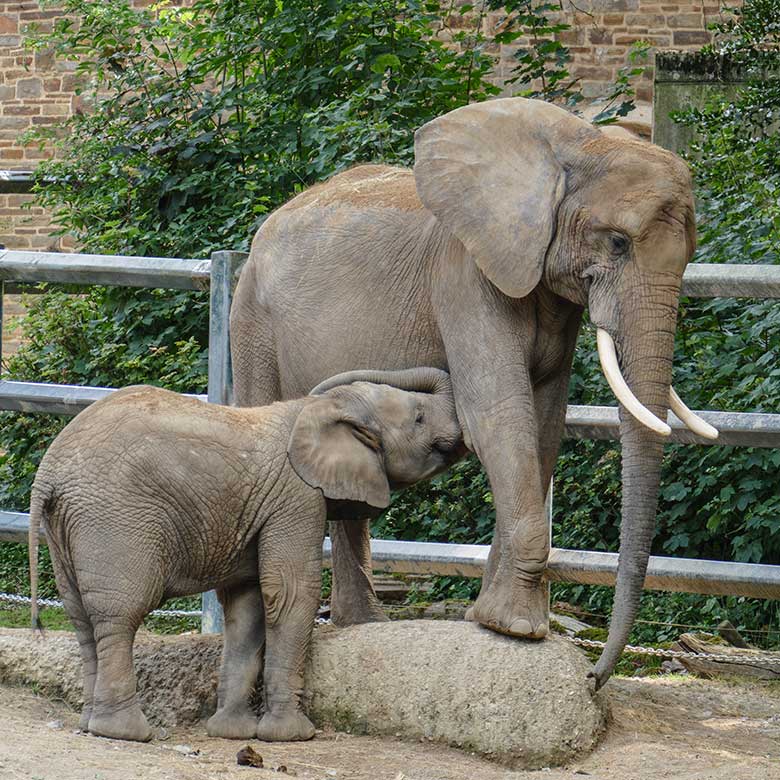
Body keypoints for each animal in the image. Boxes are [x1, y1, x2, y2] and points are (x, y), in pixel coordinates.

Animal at [29, 368, 464, 740]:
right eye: (419, 418)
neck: (316, 410)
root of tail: (48, 473)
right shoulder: (298, 497)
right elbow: (290, 593)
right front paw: (292, 736)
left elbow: (249, 604)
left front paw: (232, 733)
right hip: (114, 520)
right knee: (120, 614)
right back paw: (123, 732)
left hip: (65, 528)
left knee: (81, 617)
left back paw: (88, 724)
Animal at [229, 97, 716, 688]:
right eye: (619, 242)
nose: (594, 678)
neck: (578, 143)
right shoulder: (465, 276)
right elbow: (500, 416)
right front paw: (515, 629)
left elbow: (543, 425)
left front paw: (492, 619)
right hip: (252, 319)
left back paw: (362, 624)